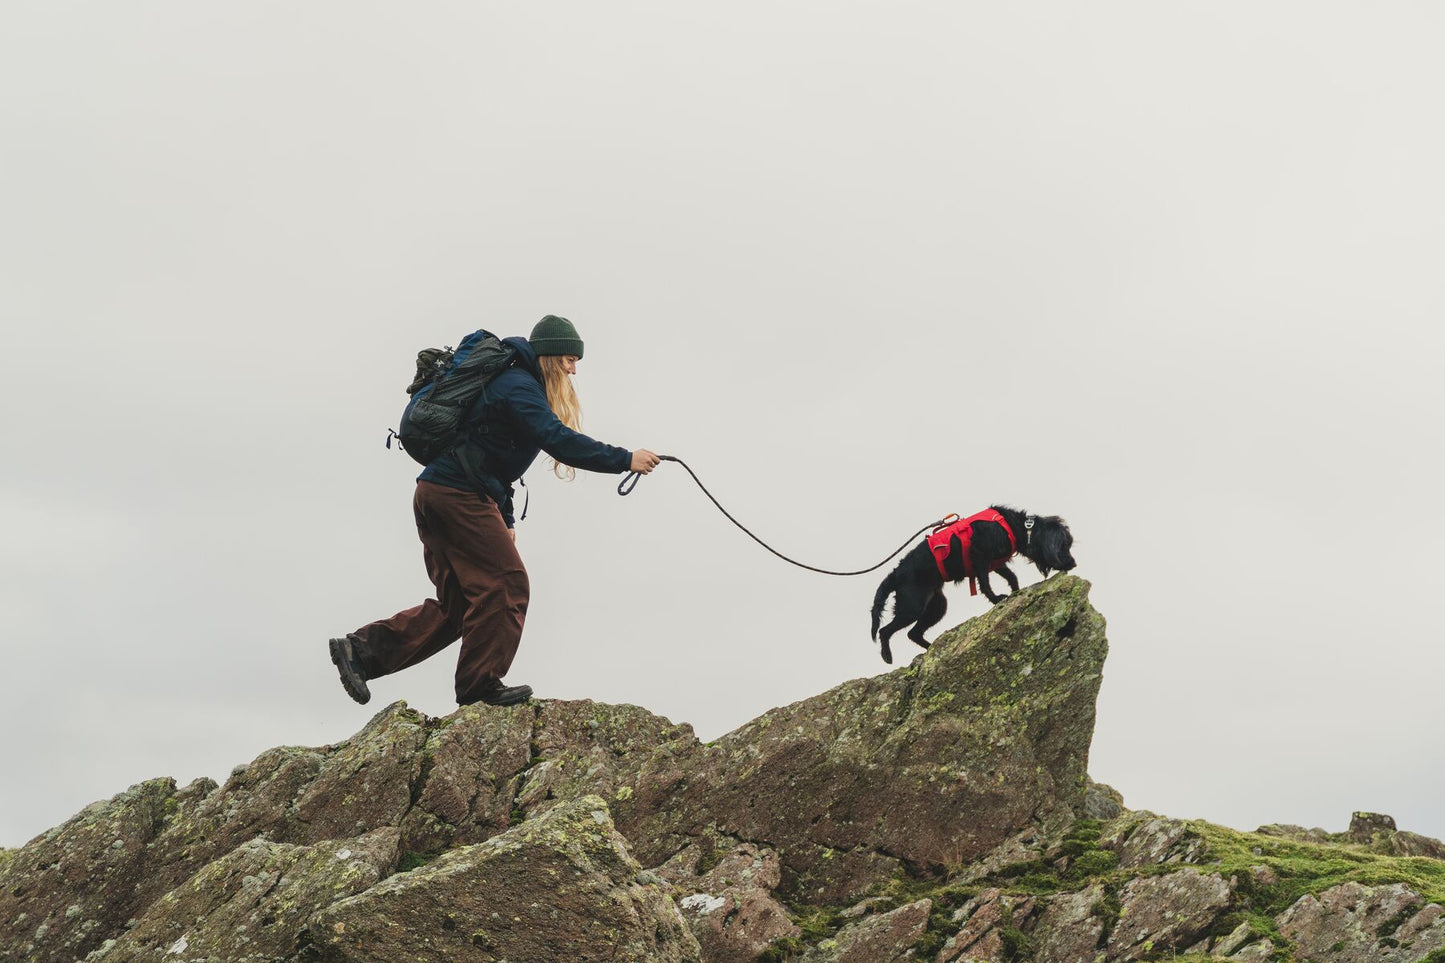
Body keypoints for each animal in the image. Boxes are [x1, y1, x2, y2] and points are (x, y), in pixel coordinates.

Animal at [867, 506, 1075, 665]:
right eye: (1064, 545)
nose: (1073, 563)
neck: (1012, 525)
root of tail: (895, 574)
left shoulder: (996, 563)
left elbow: (1011, 577)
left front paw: (1016, 591)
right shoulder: (980, 558)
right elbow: (985, 584)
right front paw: (997, 599)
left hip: (936, 605)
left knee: (913, 633)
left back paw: (932, 650)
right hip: (912, 606)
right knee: (885, 631)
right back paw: (887, 655)